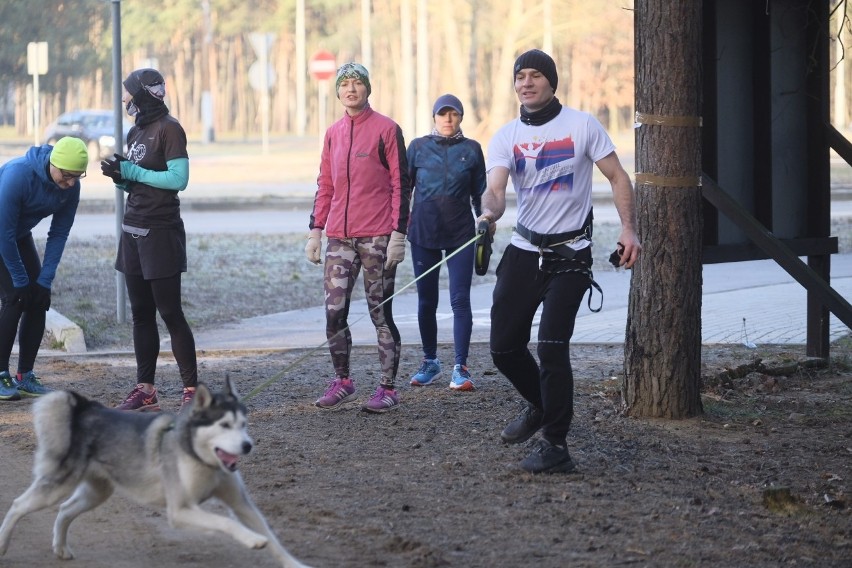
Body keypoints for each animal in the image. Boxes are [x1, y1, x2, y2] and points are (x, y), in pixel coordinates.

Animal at [0, 374, 306, 564]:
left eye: (243, 424)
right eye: (224, 425)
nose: (247, 445)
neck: (198, 456)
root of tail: (87, 409)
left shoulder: (242, 505)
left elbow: (273, 539)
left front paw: (294, 563)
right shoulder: (180, 511)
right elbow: (226, 522)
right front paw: (251, 540)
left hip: (96, 493)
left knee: (64, 510)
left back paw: (61, 548)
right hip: (57, 487)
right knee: (18, 505)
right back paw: (3, 545)